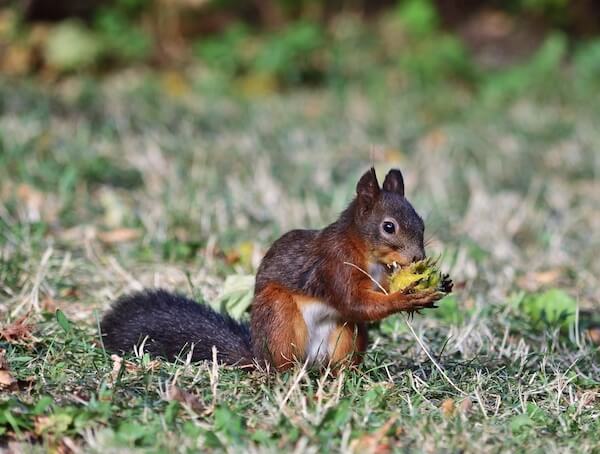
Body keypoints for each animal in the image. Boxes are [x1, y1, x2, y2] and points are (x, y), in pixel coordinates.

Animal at [102, 168, 450, 370]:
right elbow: (355, 302)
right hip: (278, 316)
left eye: (420, 222)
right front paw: (408, 296)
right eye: (388, 227)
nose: (418, 257)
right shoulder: (332, 264)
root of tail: (258, 356)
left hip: (347, 336)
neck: (366, 254)